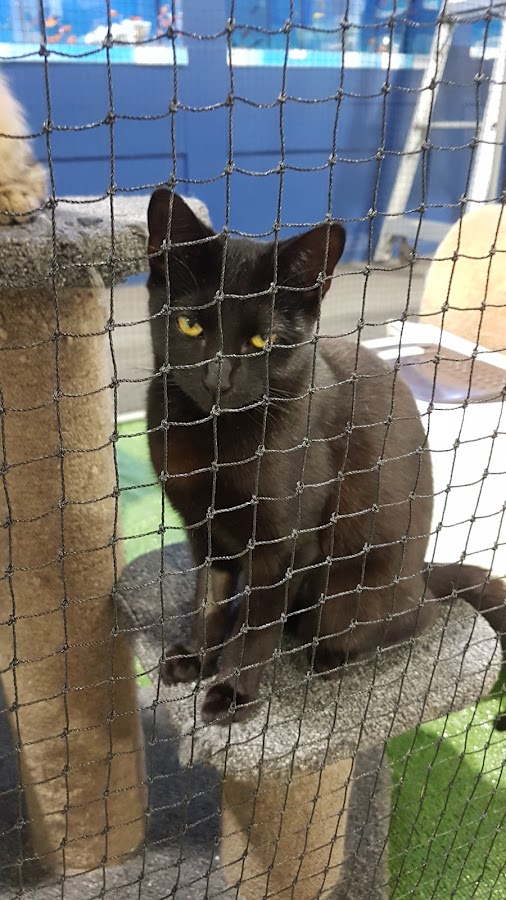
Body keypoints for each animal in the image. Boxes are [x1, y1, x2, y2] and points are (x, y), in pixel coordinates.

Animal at [146, 188, 506, 726]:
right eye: (190, 324)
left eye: (263, 340)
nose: (218, 380)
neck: (212, 437)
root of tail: (423, 573)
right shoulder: (203, 530)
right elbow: (208, 598)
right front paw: (196, 655)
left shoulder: (285, 547)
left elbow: (257, 628)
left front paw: (232, 692)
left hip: (348, 596)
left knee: (409, 617)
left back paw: (328, 656)